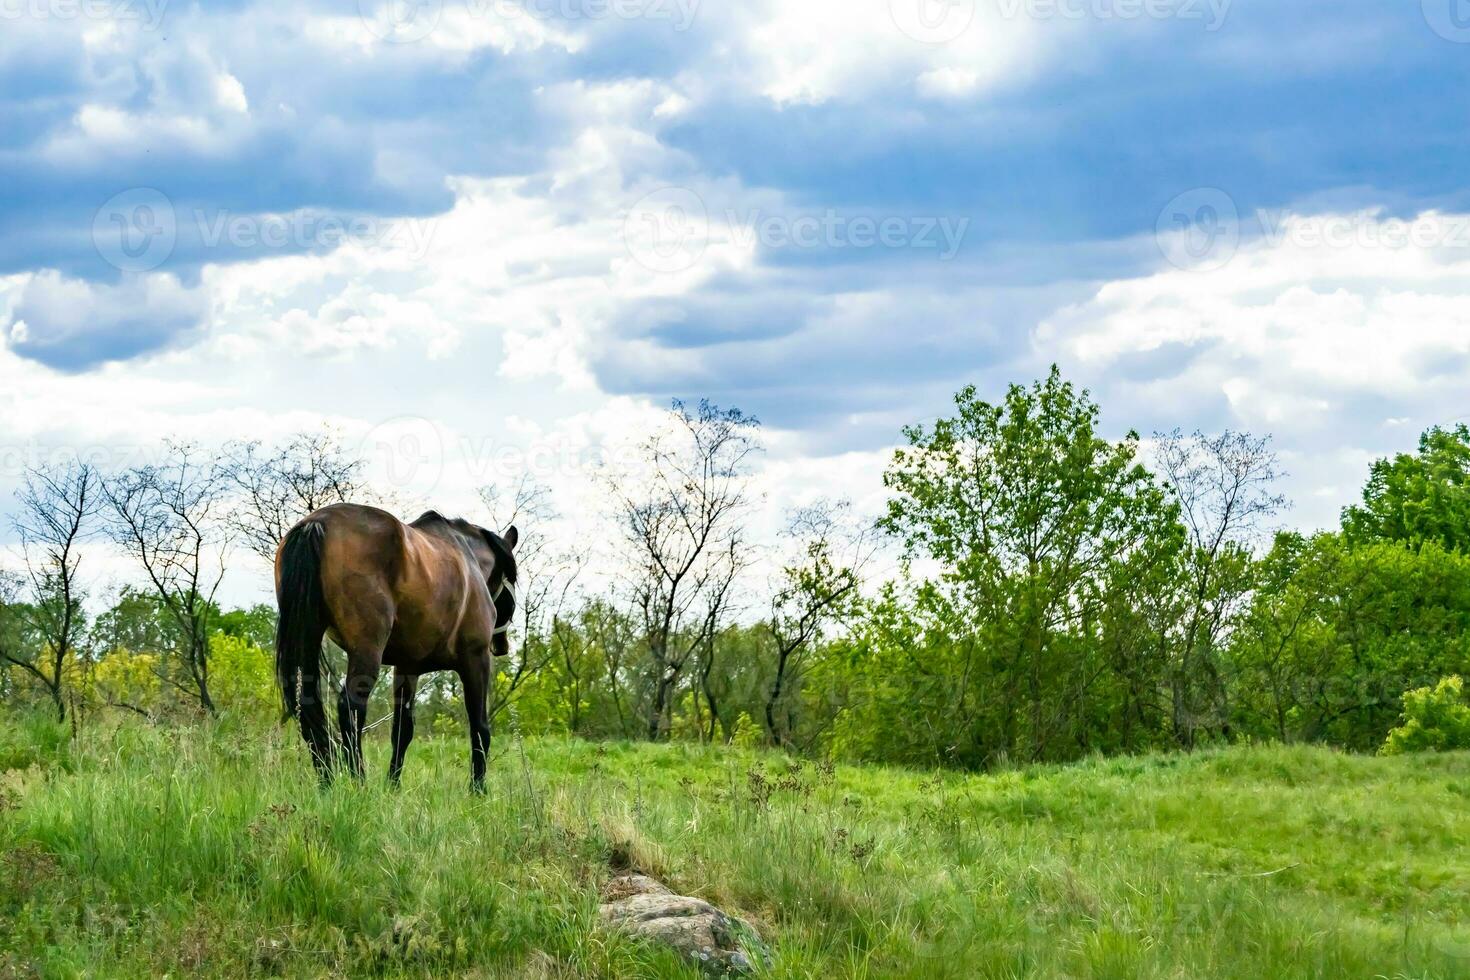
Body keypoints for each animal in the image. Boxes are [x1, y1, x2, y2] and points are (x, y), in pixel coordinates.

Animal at [273, 505, 520, 787]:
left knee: (307, 704)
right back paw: (359, 781)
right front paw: (478, 789)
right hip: (366, 650)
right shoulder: (476, 659)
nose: (501, 645)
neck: (468, 558)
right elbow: (480, 727)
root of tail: (316, 523)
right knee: (351, 707)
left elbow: (403, 730)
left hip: (309, 637)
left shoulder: (407, 667)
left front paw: (393, 785)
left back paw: (327, 781)